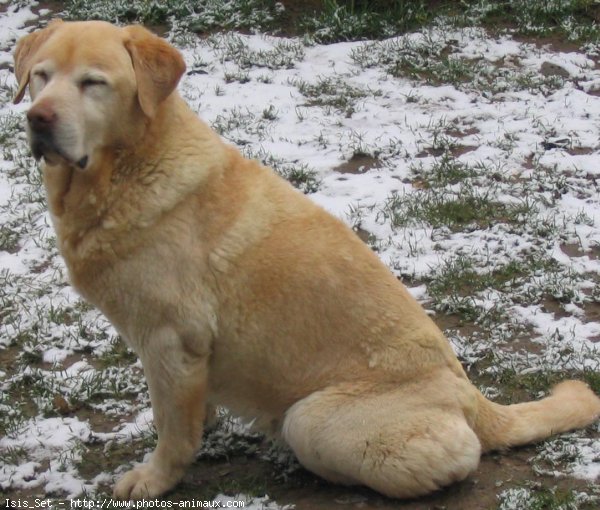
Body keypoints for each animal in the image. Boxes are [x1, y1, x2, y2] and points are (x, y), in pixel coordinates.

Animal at [12, 19, 600, 498]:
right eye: (41, 76)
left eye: (93, 82)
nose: (39, 119)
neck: (123, 172)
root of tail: (471, 396)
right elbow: (189, 415)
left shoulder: (170, 338)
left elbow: (174, 432)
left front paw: (156, 478)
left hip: (311, 418)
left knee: (453, 459)